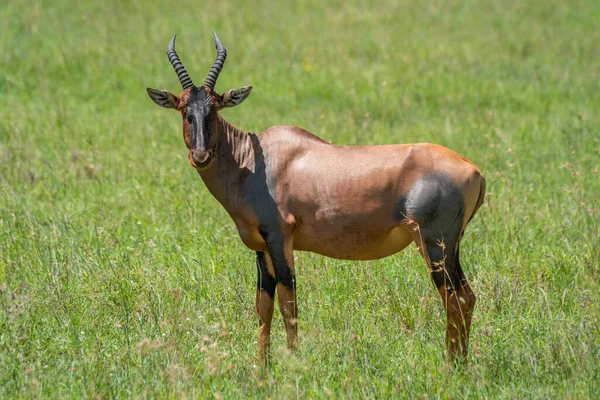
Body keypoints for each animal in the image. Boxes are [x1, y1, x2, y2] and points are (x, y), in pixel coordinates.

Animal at [146, 31, 488, 362]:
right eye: (184, 110)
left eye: (214, 108)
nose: (201, 156)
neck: (255, 160)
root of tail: (473, 169)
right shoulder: (261, 247)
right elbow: (263, 306)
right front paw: (262, 368)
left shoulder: (280, 237)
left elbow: (289, 302)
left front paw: (293, 362)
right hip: (451, 246)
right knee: (466, 297)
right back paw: (460, 363)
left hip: (433, 244)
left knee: (455, 298)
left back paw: (450, 365)